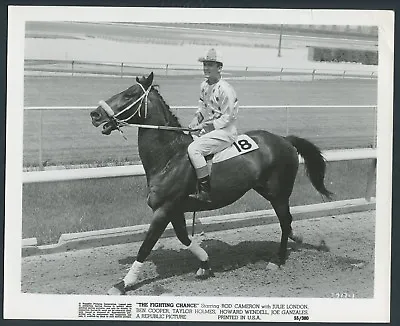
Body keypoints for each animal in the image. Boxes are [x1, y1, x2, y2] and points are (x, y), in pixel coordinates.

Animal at [90, 72, 332, 296]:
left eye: (129, 94)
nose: (95, 114)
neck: (170, 157)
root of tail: (285, 139)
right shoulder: (175, 210)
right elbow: (184, 238)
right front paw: (204, 264)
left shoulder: (163, 209)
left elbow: (146, 246)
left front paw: (123, 284)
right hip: (268, 190)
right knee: (287, 222)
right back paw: (295, 238)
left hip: (279, 194)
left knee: (285, 221)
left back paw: (278, 259)